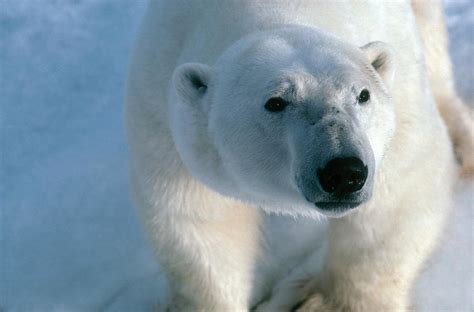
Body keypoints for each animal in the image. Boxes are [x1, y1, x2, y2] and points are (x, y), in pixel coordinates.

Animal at [127, 1, 466, 310]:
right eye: (276, 102)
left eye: (363, 95)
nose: (344, 172)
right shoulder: (163, 110)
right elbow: (198, 219)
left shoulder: (400, 100)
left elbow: (400, 194)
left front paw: (323, 303)